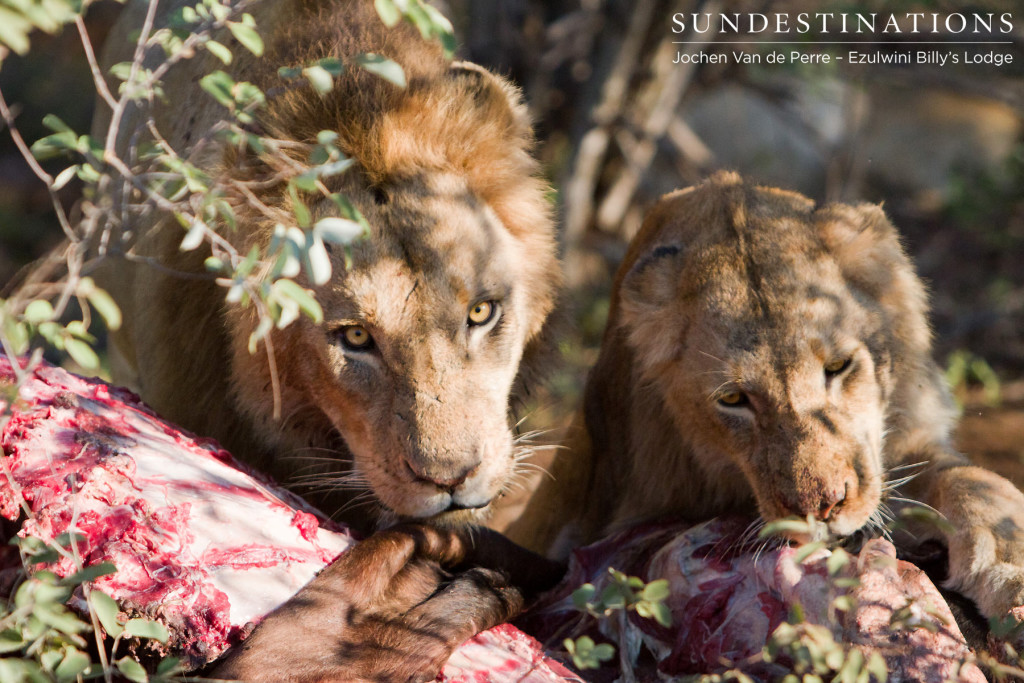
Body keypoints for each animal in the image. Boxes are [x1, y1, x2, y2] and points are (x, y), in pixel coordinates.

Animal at [512, 172, 1024, 626]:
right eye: (734, 398)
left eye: (839, 366)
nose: (824, 509)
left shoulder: (900, 444)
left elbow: (970, 479)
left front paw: (1010, 565)